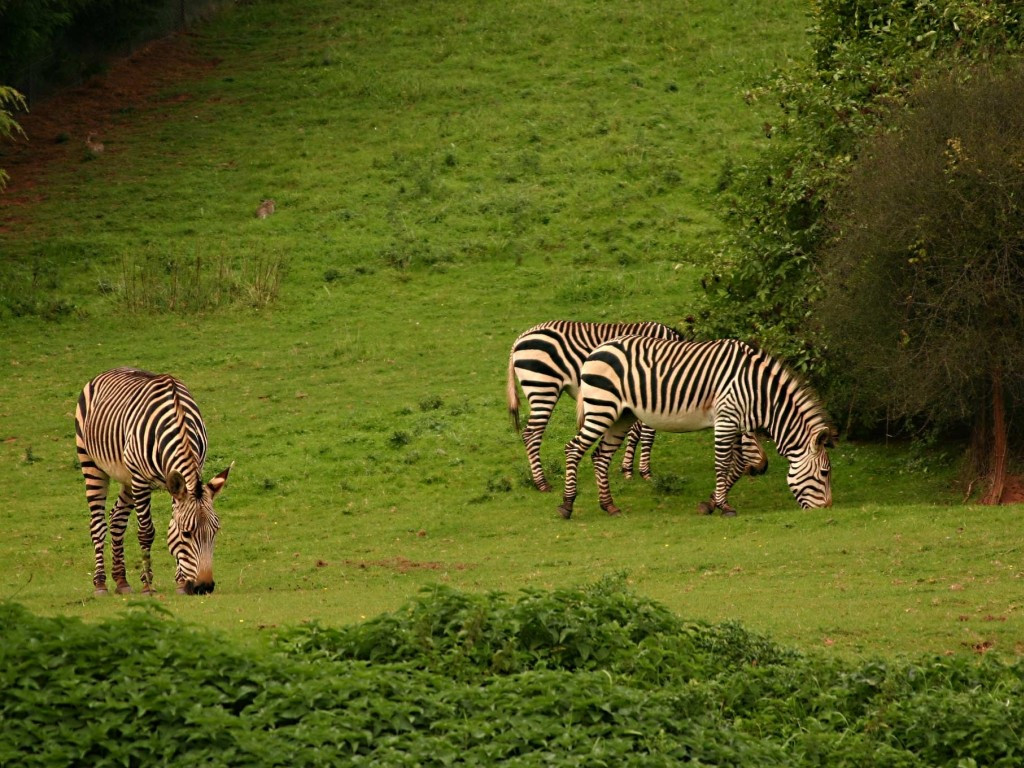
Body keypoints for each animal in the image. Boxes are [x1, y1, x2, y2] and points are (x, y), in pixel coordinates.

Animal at [75, 370, 232, 598]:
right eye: (187, 534)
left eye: (215, 531)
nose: (205, 587)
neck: (179, 420)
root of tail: (107, 372)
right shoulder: (141, 479)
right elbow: (146, 532)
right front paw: (148, 585)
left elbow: (171, 525)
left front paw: (180, 582)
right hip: (91, 463)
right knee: (98, 524)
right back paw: (101, 584)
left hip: (127, 477)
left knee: (117, 519)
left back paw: (121, 581)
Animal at [557, 339, 835, 520]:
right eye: (824, 473)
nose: (826, 510)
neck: (760, 391)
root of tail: (597, 349)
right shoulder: (726, 419)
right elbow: (723, 465)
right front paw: (724, 507)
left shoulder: (735, 423)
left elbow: (737, 466)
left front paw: (710, 504)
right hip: (602, 407)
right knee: (573, 449)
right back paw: (567, 505)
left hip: (621, 415)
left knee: (600, 456)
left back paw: (609, 506)